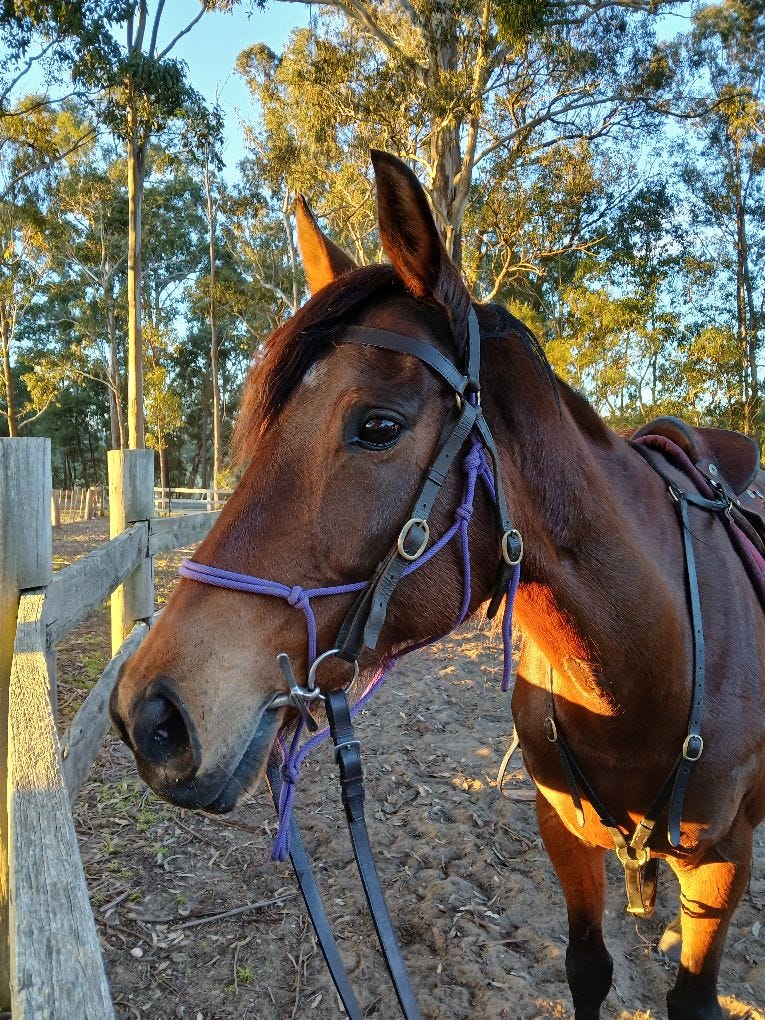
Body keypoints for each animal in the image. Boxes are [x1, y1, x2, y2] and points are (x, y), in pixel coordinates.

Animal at [109, 150, 765, 1020]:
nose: (149, 715)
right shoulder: (561, 830)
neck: (650, 663)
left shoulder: (722, 862)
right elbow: (588, 968)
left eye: (378, 426)